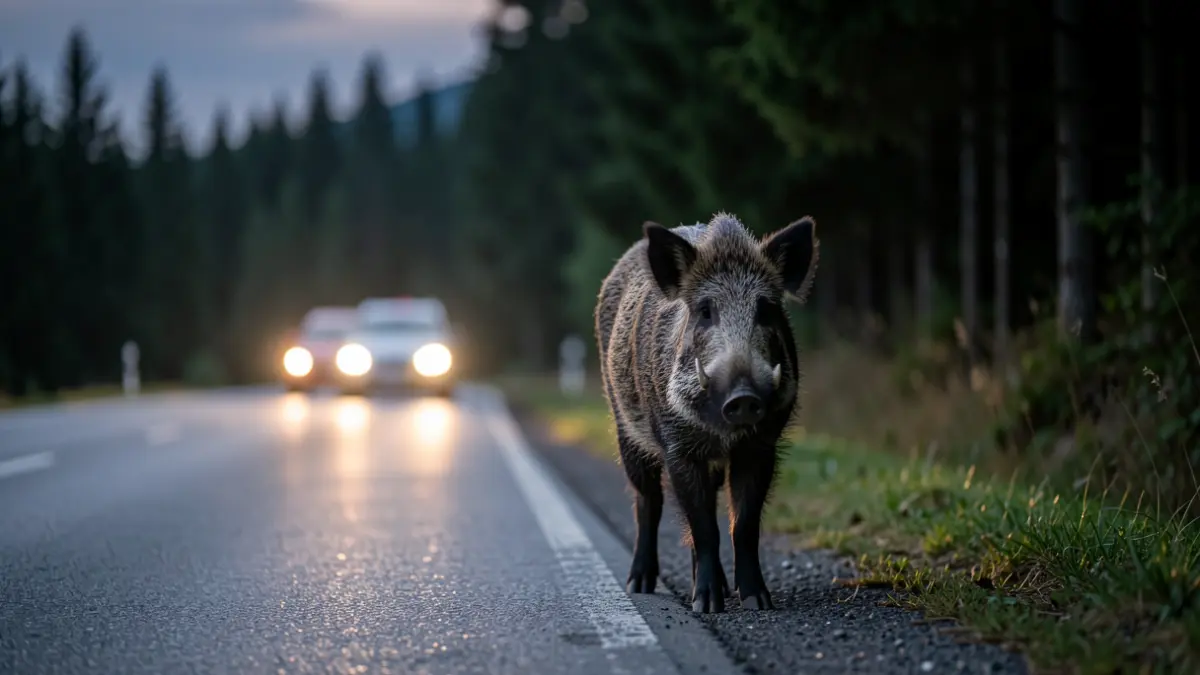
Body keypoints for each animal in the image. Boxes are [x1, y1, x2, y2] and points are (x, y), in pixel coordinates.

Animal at [594, 211, 819, 613]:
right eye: (704, 311)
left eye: (766, 309)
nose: (742, 396)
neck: (722, 434)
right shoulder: (678, 447)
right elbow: (702, 525)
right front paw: (707, 606)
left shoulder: (760, 447)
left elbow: (742, 525)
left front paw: (758, 602)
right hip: (624, 428)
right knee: (647, 501)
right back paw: (640, 584)